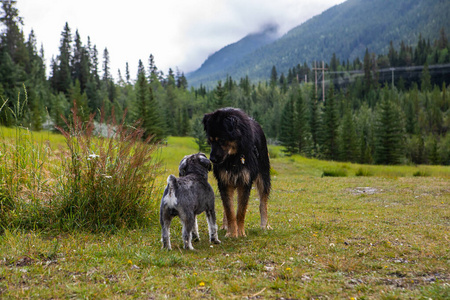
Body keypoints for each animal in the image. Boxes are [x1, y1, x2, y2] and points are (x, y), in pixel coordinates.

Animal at [203, 107, 270, 237]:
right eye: (210, 141)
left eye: (222, 140)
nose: (212, 160)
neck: (233, 157)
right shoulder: (224, 182)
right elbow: (229, 210)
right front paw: (232, 233)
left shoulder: (245, 182)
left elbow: (241, 211)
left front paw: (241, 233)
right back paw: (226, 226)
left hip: (263, 176)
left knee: (263, 202)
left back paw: (265, 225)